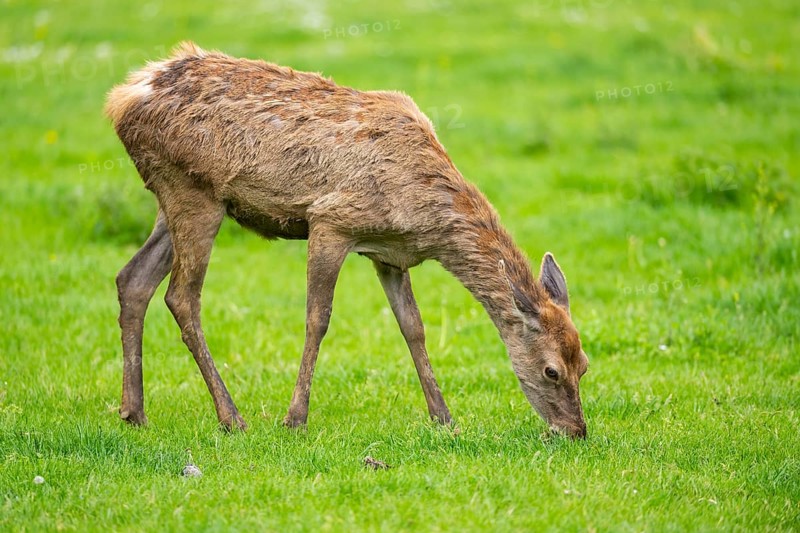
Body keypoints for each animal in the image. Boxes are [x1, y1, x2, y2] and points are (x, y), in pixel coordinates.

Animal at [106, 42, 589, 439]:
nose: (576, 430)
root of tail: (123, 98)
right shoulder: (331, 220)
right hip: (193, 189)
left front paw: (444, 417)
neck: (425, 218)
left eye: (583, 365)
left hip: (177, 197)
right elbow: (317, 318)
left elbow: (413, 326)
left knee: (133, 278)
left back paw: (134, 412)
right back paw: (231, 417)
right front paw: (295, 418)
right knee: (182, 296)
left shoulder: (390, 254)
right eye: (551, 371)